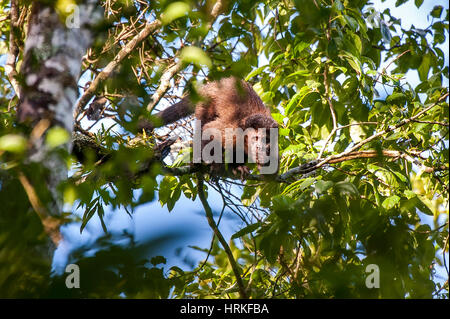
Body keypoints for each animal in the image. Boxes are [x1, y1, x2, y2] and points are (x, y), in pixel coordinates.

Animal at [138, 77, 278, 178]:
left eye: (268, 144)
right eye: (257, 140)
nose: (262, 151)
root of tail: (210, 85)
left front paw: (238, 167)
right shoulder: (234, 130)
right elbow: (209, 130)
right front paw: (214, 163)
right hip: (206, 102)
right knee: (203, 124)